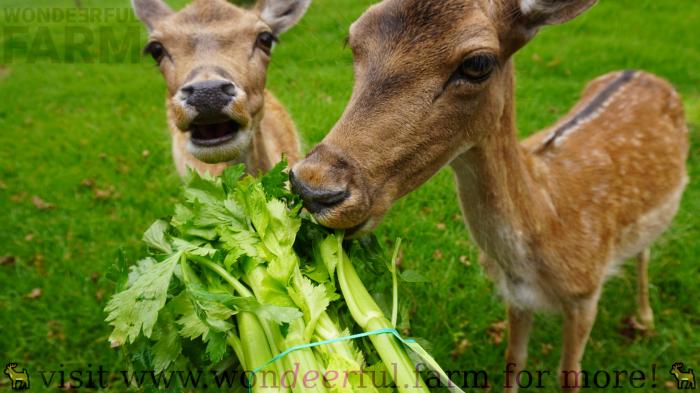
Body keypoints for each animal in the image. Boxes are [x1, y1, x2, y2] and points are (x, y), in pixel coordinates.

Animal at [288, 1, 688, 390]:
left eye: (478, 63)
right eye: (352, 40)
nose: (313, 186)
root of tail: (642, 71)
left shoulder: (585, 294)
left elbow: (569, 375)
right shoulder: (516, 296)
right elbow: (514, 361)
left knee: (645, 251)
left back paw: (645, 318)